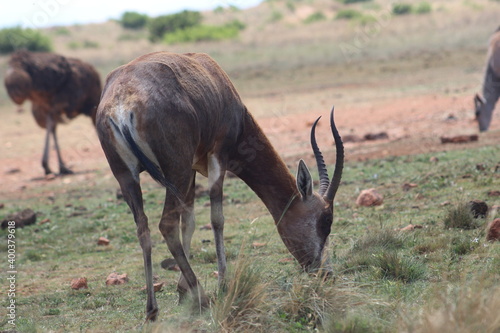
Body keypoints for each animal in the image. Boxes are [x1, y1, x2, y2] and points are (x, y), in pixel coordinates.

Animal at [95, 51, 342, 320]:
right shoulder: (218, 157)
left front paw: (182, 290)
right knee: (167, 225)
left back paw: (152, 309)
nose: (325, 273)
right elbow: (217, 219)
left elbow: (190, 220)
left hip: (128, 177)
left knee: (144, 228)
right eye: (326, 220)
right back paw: (202, 298)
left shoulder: (193, 168)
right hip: (176, 170)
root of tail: (122, 102)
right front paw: (222, 283)